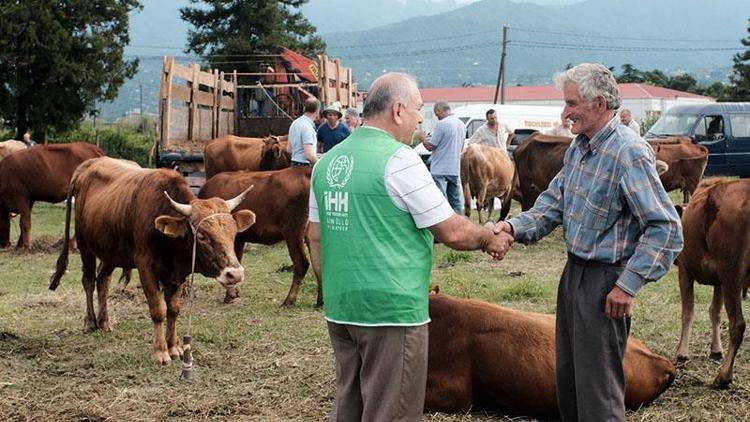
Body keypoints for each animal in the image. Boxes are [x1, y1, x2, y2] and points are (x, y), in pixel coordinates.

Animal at [49, 157, 258, 362]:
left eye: (233, 233)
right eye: (202, 236)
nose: (235, 274)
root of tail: (88, 165)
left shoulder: (177, 274)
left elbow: (173, 309)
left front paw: (174, 347)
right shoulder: (145, 266)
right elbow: (158, 309)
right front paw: (161, 351)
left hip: (111, 250)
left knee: (103, 281)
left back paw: (105, 322)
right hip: (84, 244)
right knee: (88, 280)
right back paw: (90, 322)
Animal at [198, 166, 318, 306]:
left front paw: (230, 295)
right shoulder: (239, 239)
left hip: (293, 231)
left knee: (301, 264)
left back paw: (289, 300)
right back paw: (319, 302)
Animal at [676, 176, 750, 388]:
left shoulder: (684, 271)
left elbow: (688, 312)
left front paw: (681, 353)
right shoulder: (719, 282)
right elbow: (715, 312)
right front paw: (716, 349)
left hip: (732, 274)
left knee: (737, 325)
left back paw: (723, 376)